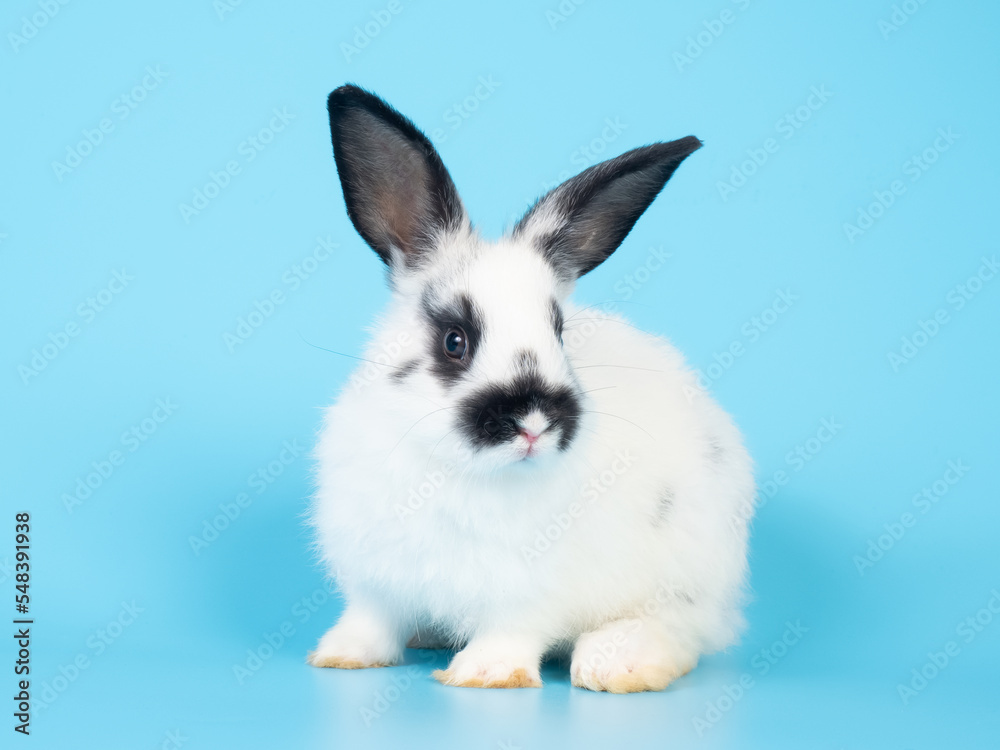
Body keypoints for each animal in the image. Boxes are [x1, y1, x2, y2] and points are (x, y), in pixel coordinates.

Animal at [307, 84, 755, 693]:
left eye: (559, 333)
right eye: (454, 341)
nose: (534, 422)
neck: (458, 471)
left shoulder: (528, 593)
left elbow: (511, 629)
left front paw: (485, 674)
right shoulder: (375, 579)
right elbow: (372, 621)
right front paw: (341, 656)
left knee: (679, 626)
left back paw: (617, 664)